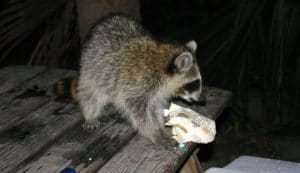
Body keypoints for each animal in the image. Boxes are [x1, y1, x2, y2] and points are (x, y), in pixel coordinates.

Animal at [76, 14, 203, 145]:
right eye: (195, 83)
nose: (202, 100)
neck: (162, 65)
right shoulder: (139, 83)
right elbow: (138, 111)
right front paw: (153, 132)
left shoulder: (155, 91)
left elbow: (154, 108)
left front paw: (159, 126)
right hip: (93, 68)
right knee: (90, 92)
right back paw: (90, 114)